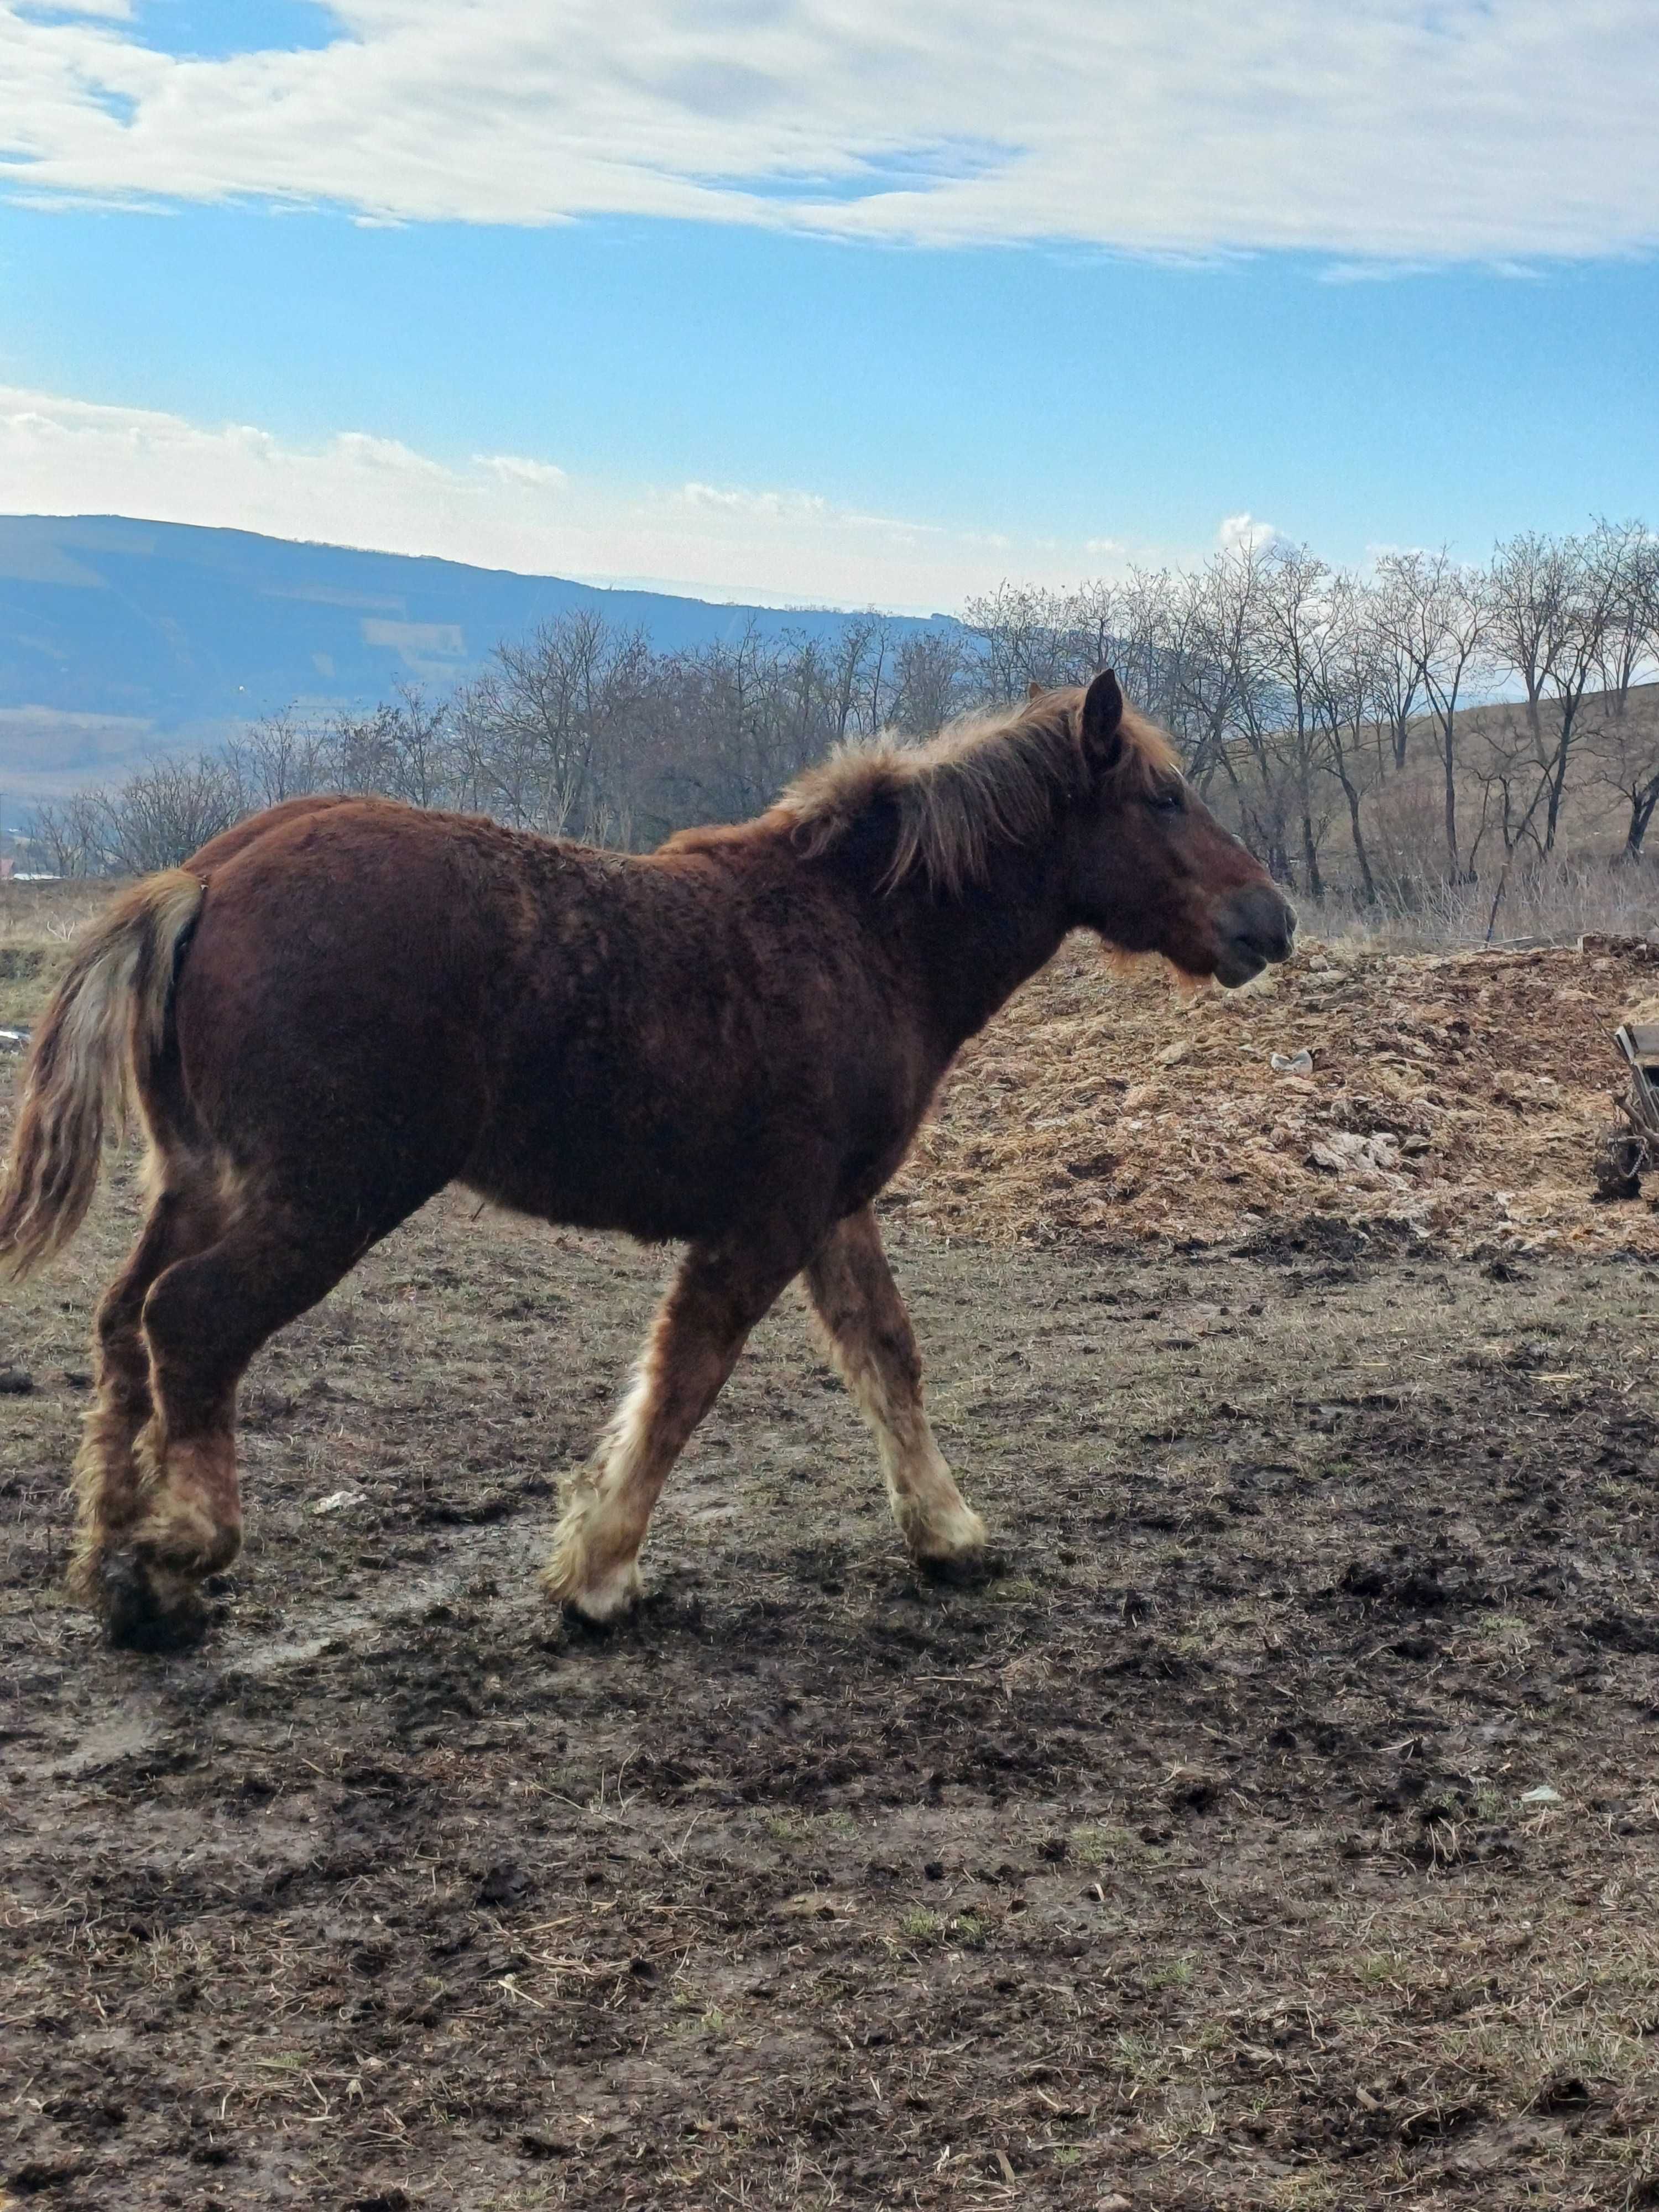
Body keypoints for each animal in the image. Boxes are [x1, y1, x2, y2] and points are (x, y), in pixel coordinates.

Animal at [0, 672, 1301, 1646]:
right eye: (1165, 795)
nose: (1271, 920)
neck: (865, 935)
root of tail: (202, 877)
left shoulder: (833, 1210)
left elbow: (887, 1355)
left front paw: (948, 1534)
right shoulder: (766, 1221)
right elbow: (685, 1379)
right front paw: (598, 1575)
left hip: (205, 1181)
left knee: (121, 1326)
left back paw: (115, 1564)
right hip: (327, 1198)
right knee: (191, 1323)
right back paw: (180, 1560)